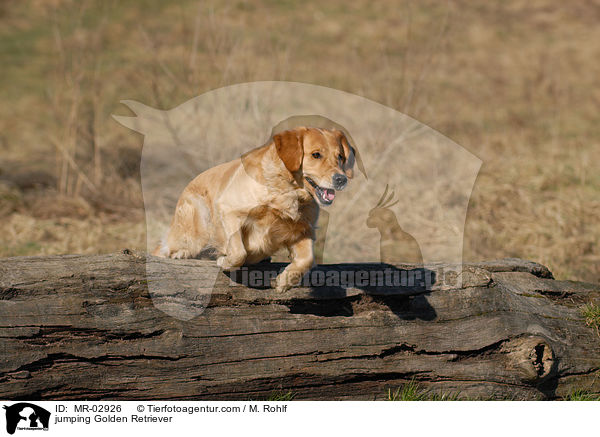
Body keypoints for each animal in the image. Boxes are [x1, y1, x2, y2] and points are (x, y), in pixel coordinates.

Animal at [155, 125, 356, 290]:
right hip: (198, 227)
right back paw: (179, 253)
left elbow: (307, 260)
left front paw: (285, 281)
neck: (287, 191)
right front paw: (225, 261)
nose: (341, 179)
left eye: (340, 157)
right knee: (163, 249)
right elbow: (238, 252)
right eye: (316, 155)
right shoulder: (229, 211)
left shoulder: (303, 230)